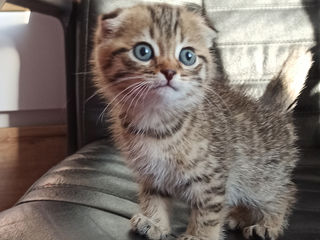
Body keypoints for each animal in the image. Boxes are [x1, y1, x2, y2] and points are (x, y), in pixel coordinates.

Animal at [92, 3, 312, 240]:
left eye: (187, 56)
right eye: (143, 52)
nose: (169, 72)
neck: (157, 121)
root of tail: (271, 110)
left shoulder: (213, 177)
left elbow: (208, 211)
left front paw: (199, 235)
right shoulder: (151, 174)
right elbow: (153, 198)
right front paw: (155, 222)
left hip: (261, 179)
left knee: (285, 192)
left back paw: (268, 223)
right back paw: (239, 215)